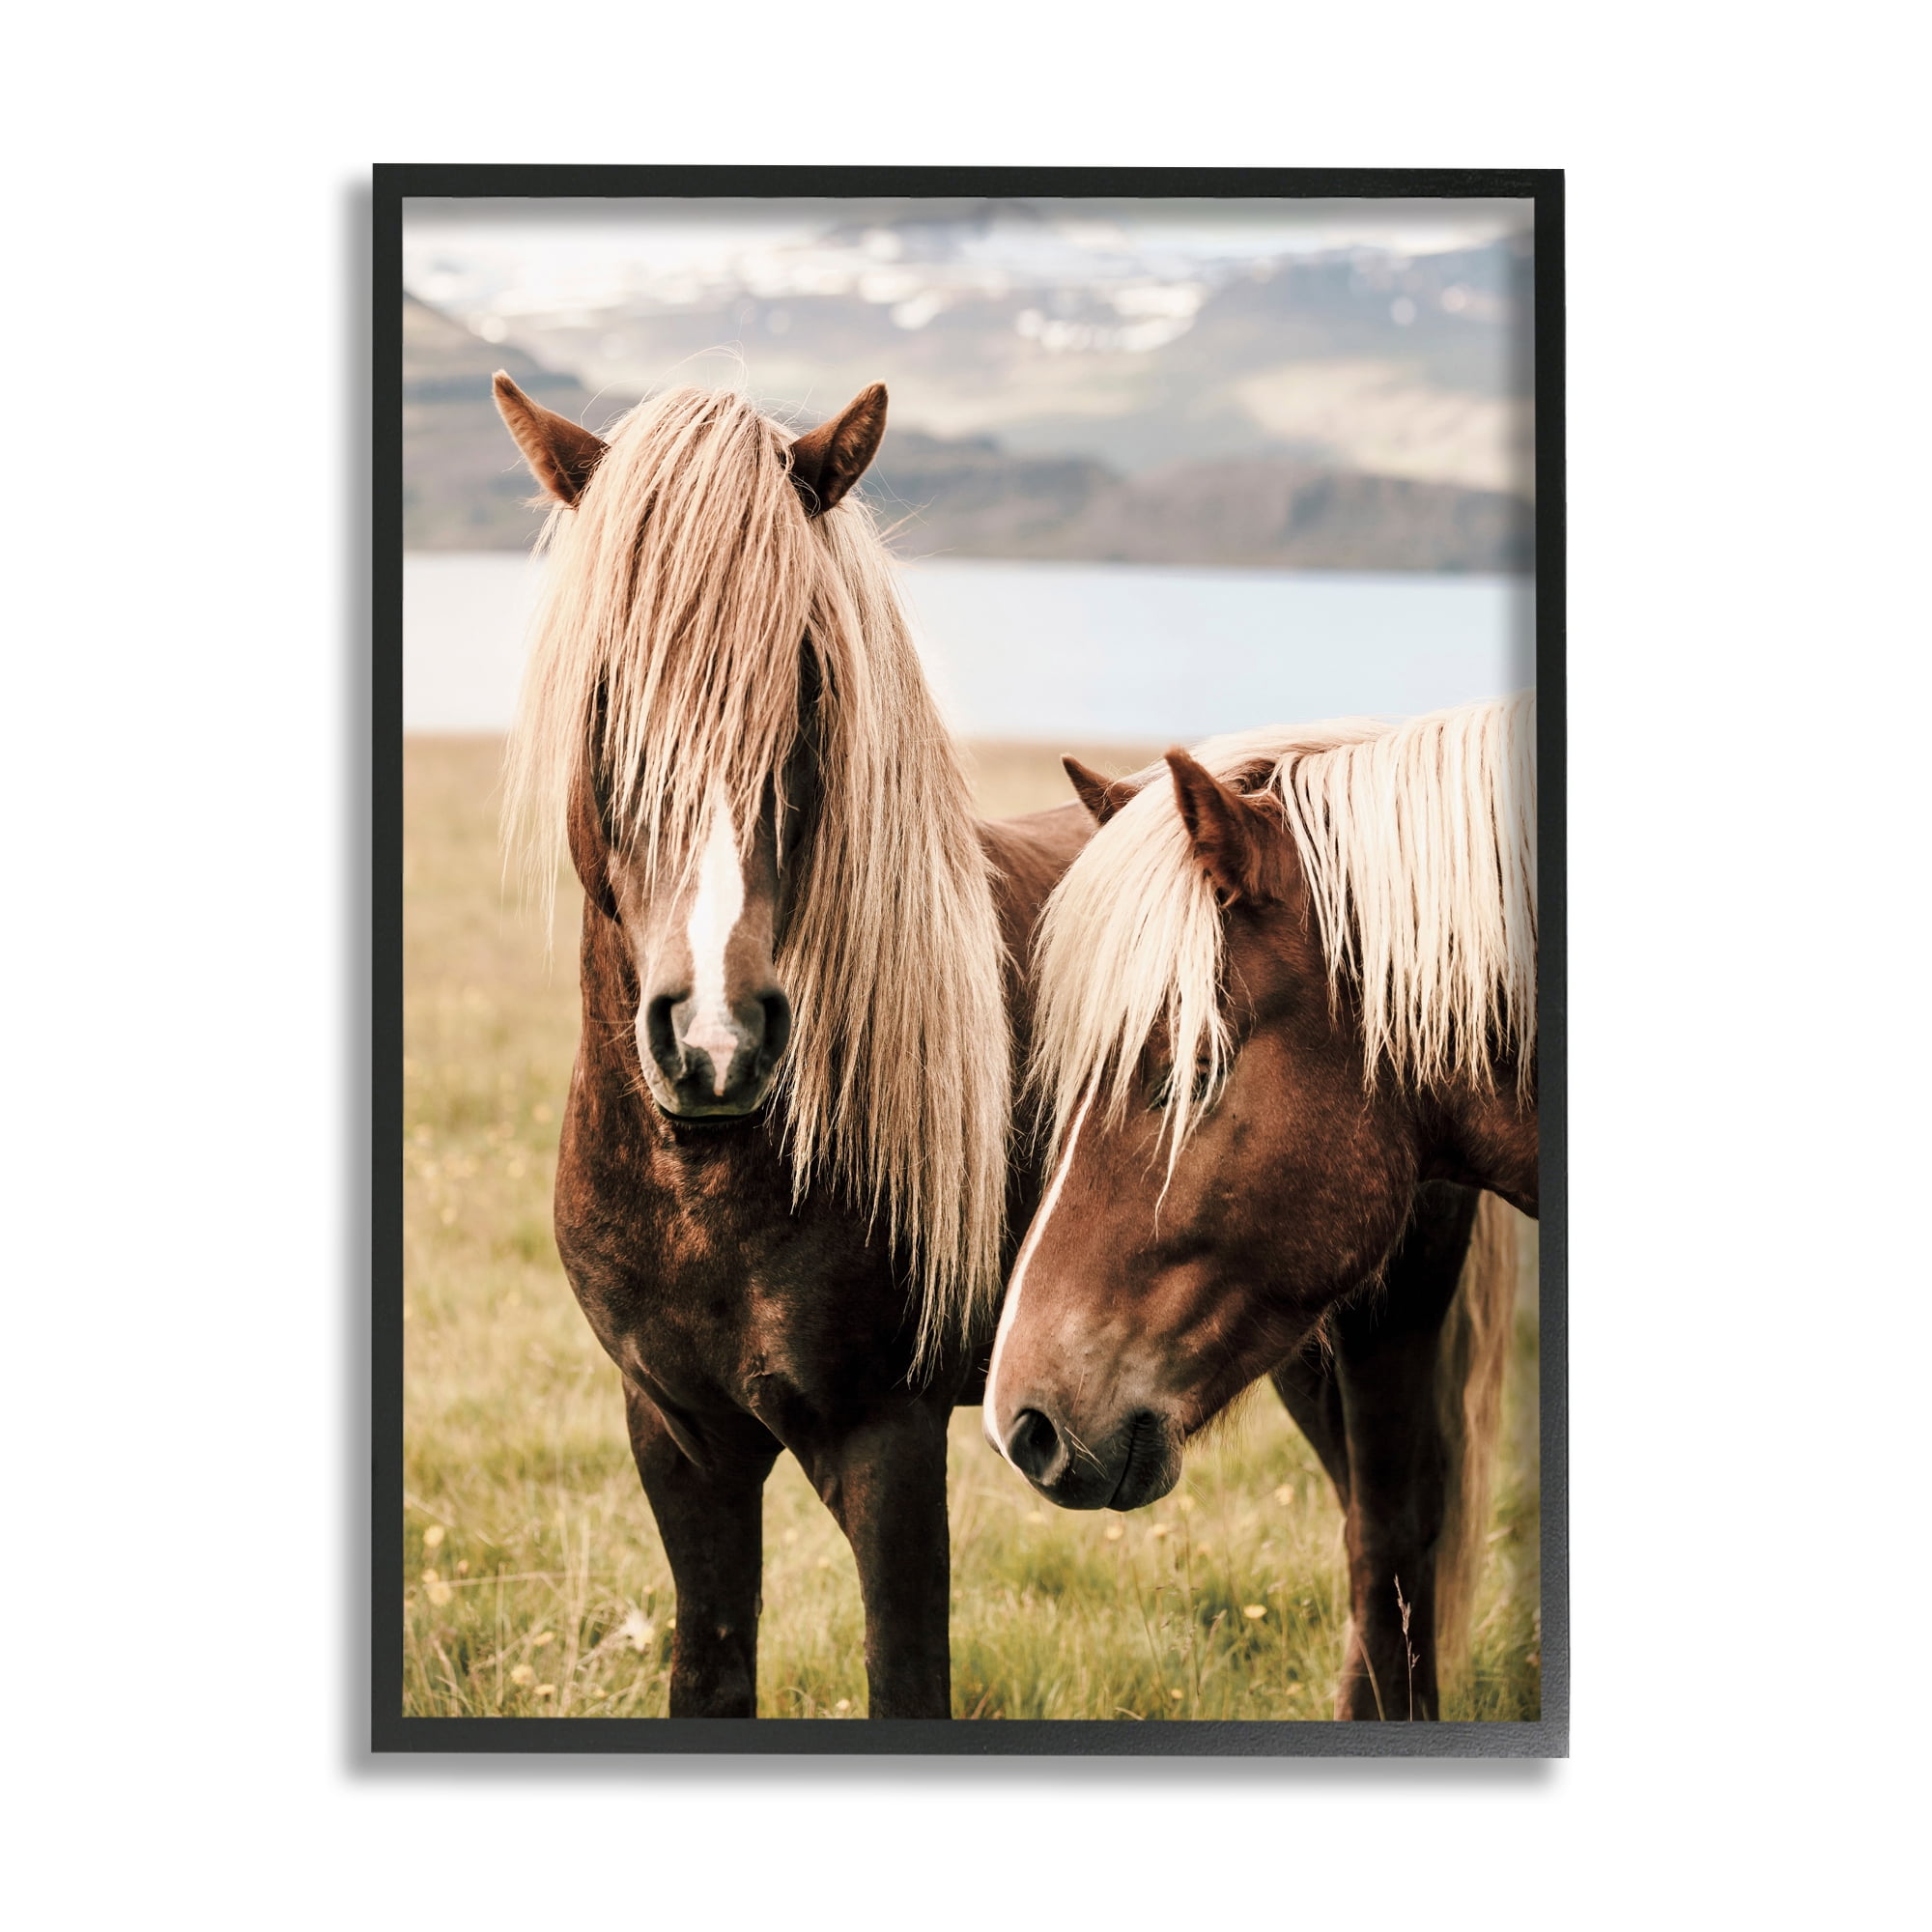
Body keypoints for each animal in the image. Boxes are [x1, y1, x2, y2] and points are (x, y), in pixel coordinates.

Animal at [490, 373, 1090, 1718]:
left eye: (808, 681)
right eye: (604, 687)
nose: (714, 1038)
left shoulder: (886, 1440)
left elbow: (906, 1677)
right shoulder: (678, 1435)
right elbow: (711, 1670)